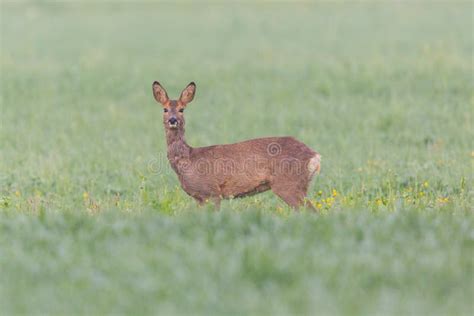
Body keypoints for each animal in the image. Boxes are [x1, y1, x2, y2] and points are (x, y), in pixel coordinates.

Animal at [152, 80, 322, 211]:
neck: (187, 159)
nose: (173, 120)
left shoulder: (212, 192)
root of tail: (315, 155)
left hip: (288, 184)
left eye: (182, 109)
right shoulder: (199, 198)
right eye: (165, 109)